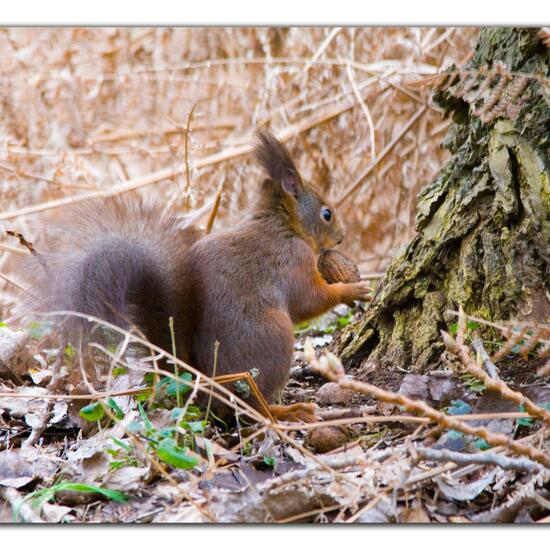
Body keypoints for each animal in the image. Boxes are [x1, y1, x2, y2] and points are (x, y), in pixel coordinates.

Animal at [18, 130, 370, 418]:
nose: (341, 238)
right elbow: (308, 301)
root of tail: (204, 382)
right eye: (327, 213)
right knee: (253, 405)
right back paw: (285, 411)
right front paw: (351, 291)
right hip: (274, 339)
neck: (283, 225)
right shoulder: (292, 261)